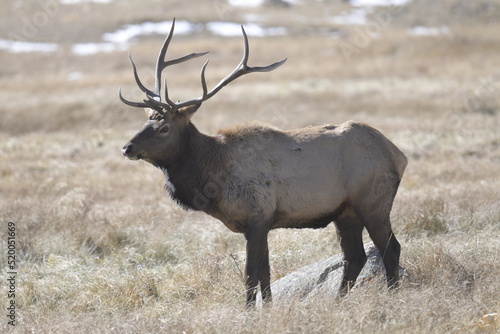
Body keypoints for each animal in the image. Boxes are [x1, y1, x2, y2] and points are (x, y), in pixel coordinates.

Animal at [119, 17, 408, 306]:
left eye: (164, 128)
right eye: (146, 121)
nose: (126, 147)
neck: (213, 175)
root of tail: (399, 155)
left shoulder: (256, 216)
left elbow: (250, 275)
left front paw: (247, 311)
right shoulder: (265, 222)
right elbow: (265, 274)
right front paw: (267, 309)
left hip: (373, 200)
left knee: (390, 248)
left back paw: (392, 294)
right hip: (345, 211)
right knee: (355, 256)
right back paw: (337, 302)